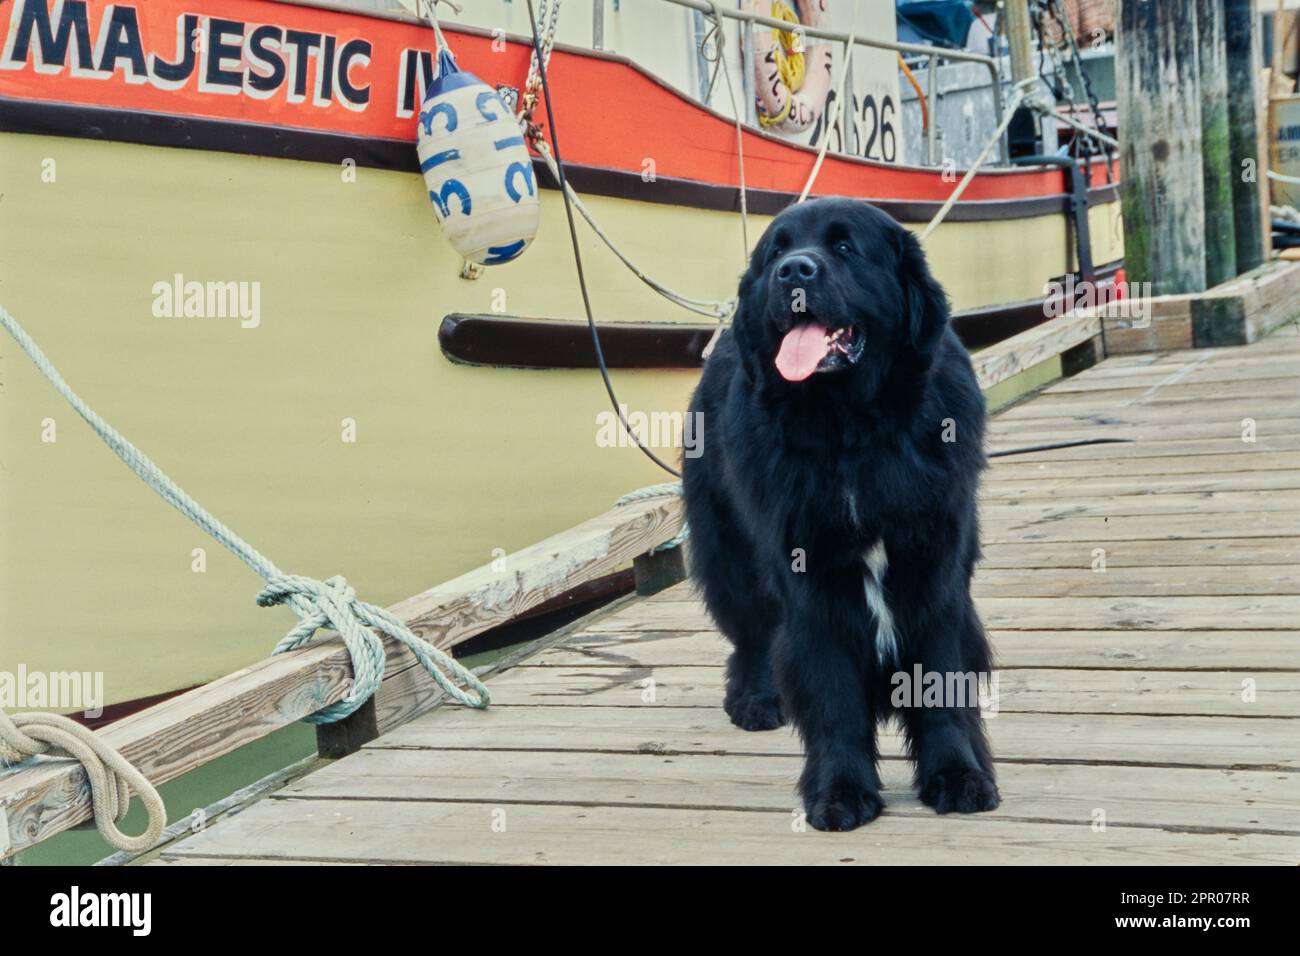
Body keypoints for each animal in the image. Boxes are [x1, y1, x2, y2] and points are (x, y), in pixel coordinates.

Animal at [686, 200, 998, 832]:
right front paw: (840, 792)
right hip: (730, 552)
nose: (793, 272)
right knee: (751, 633)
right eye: (776, 252)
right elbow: (832, 696)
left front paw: (958, 777)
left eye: (845, 247)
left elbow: (941, 682)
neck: (852, 431)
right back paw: (756, 700)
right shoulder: (812, 586)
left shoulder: (937, 574)